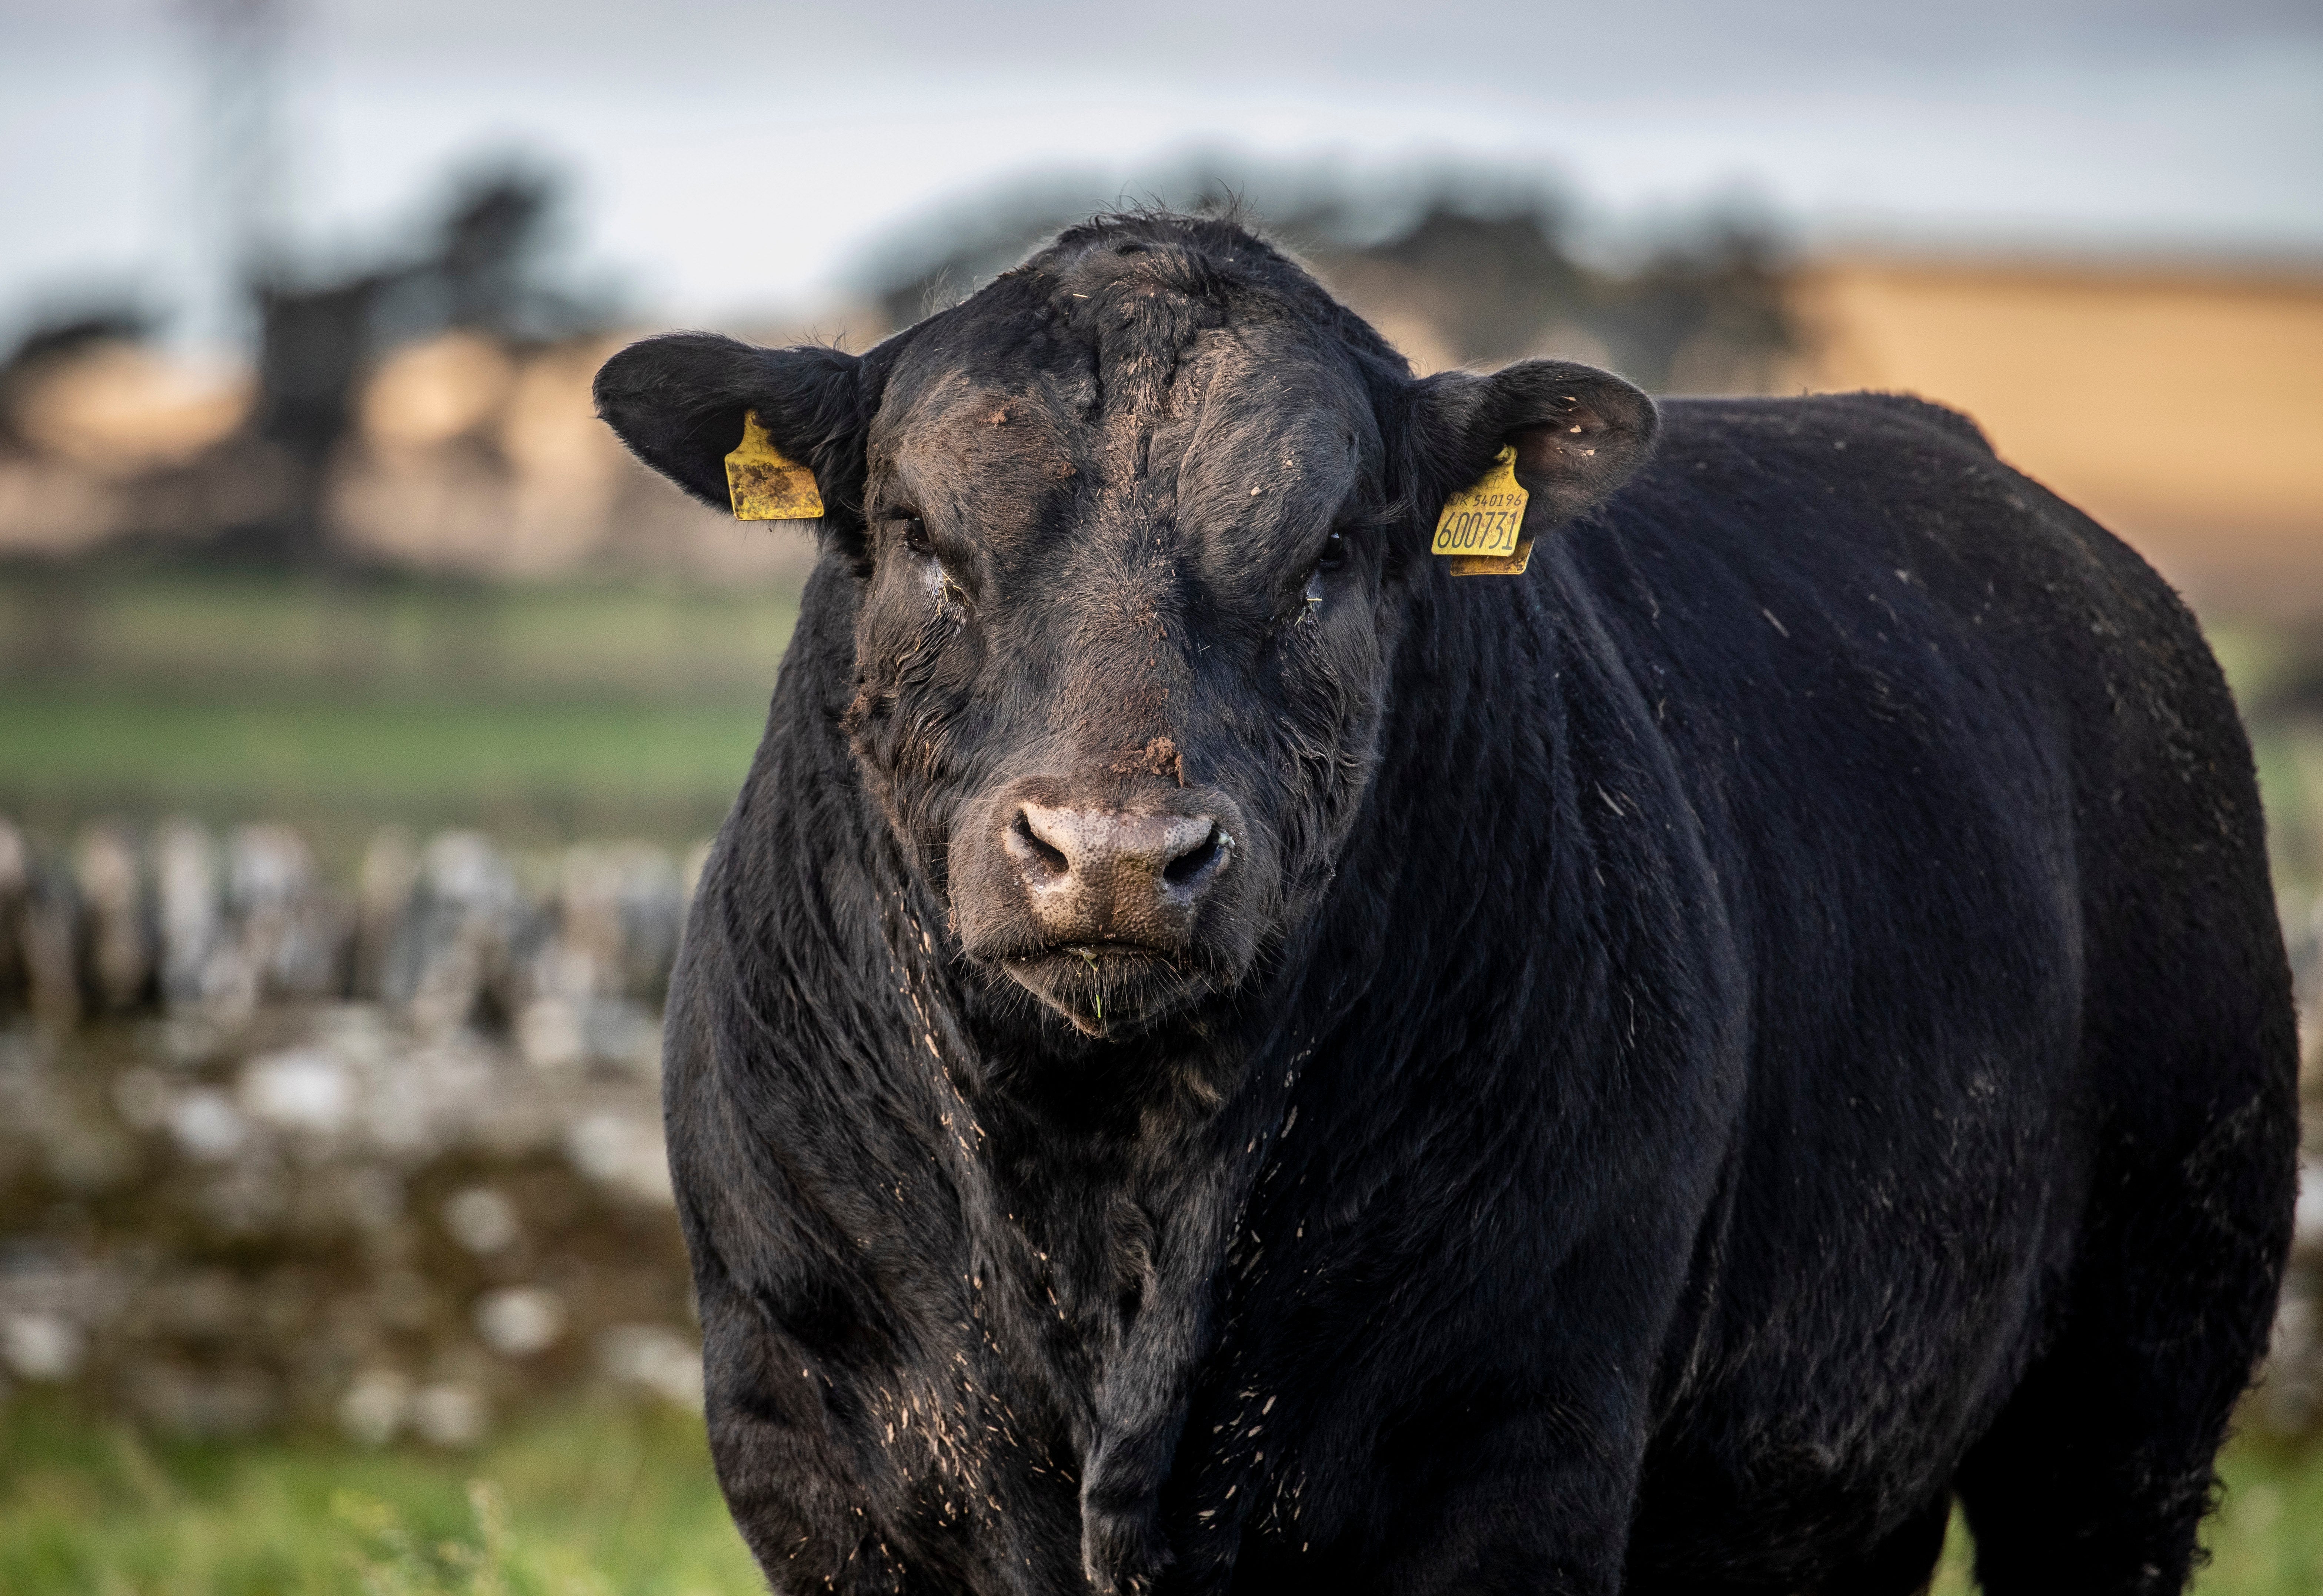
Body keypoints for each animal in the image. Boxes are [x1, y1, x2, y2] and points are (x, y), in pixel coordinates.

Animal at [592, 212, 2298, 1596]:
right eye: (924, 543)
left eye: (1329, 555)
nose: (1116, 851)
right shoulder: (807, 1445)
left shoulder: (1516, 1442)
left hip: (2139, 1382)